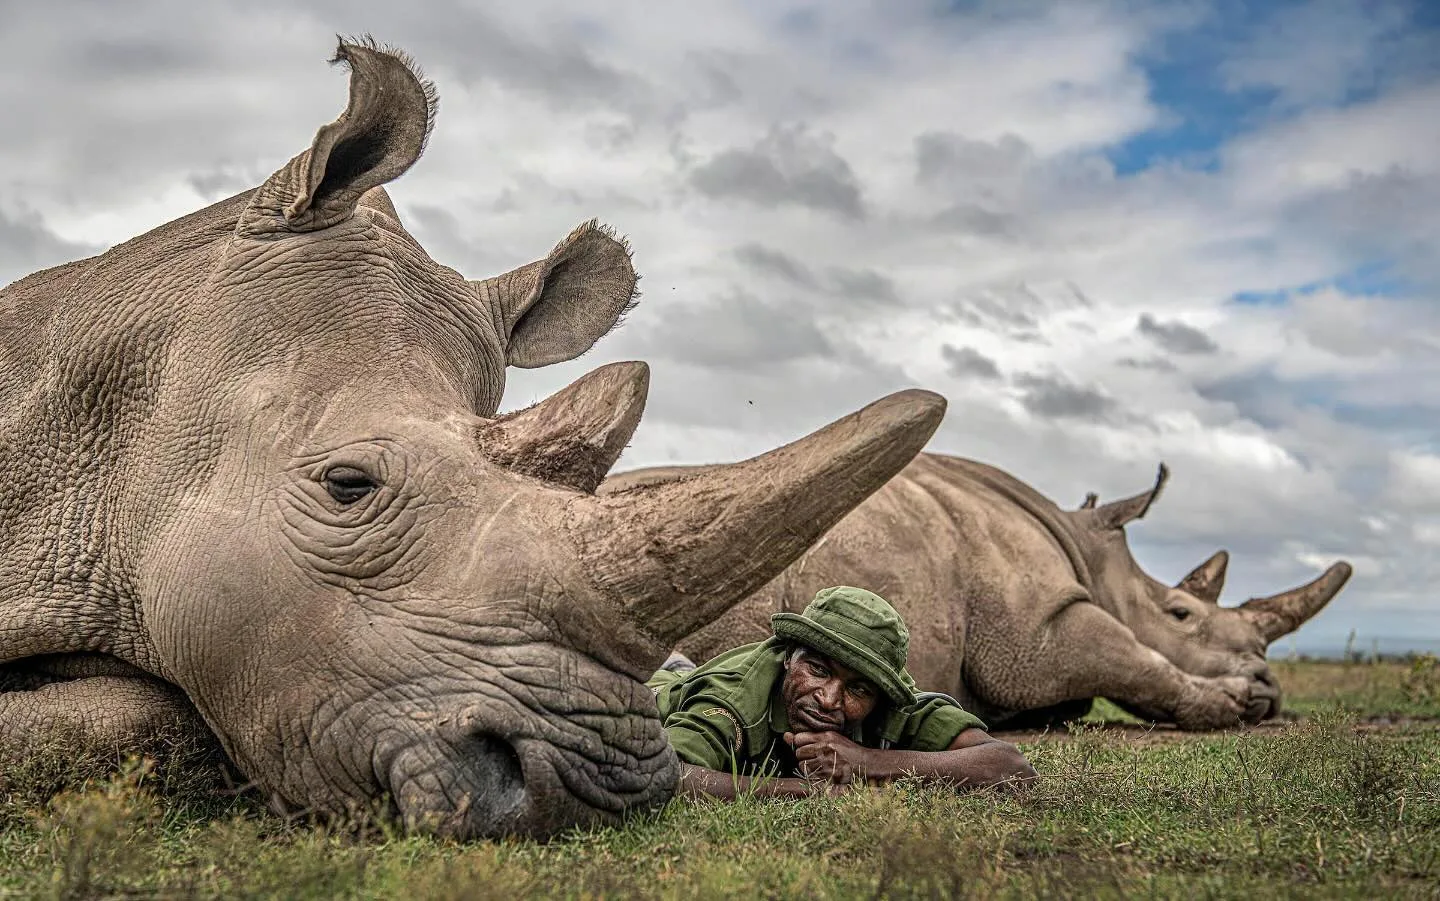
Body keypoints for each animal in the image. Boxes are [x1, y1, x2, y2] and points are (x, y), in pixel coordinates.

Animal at [607, 454, 1352, 731]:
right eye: (1181, 613)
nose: (1270, 686)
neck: (1093, 552)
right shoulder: (1037, 633)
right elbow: (1133, 657)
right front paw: (1232, 704)